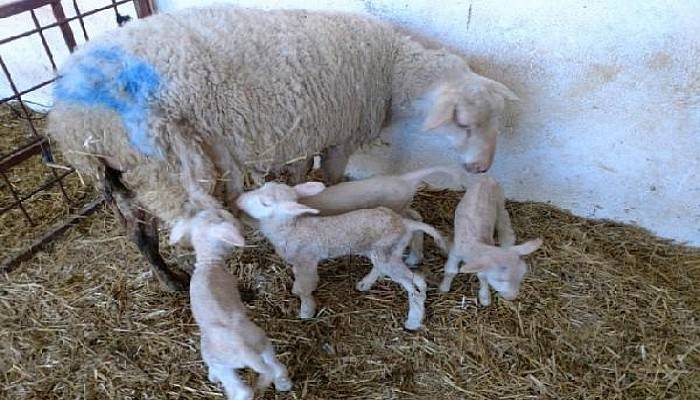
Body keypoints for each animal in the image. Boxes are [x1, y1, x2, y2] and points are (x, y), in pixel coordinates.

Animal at [46, 6, 516, 290]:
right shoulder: (338, 136)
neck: (392, 68)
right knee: (193, 228)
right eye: (463, 122)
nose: (482, 168)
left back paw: (171, 282)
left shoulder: (306, 132)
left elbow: (299, 175)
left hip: (124, 174)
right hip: (164, 168)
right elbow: (330, 179)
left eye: (497, 121)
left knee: (139, 235)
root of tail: (70, 114)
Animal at [175, 211, 296, 398]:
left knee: (242, 390)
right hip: (263, 344)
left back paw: (217, 379)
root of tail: (244, 350)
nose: (228, 213)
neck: (208, 261)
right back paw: (283, 383)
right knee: (276, 367)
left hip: (222, 364)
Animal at [234, 182, 442, 332]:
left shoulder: (306, 261)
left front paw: (306, 311)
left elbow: (304, 288)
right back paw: (365, 284)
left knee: (417, 285)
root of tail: (406, 224)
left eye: (265, 203)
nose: (239, 200)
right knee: (385, 269)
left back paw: (413, 321)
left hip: (388, 254)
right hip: (385, 251)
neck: (292, 228)